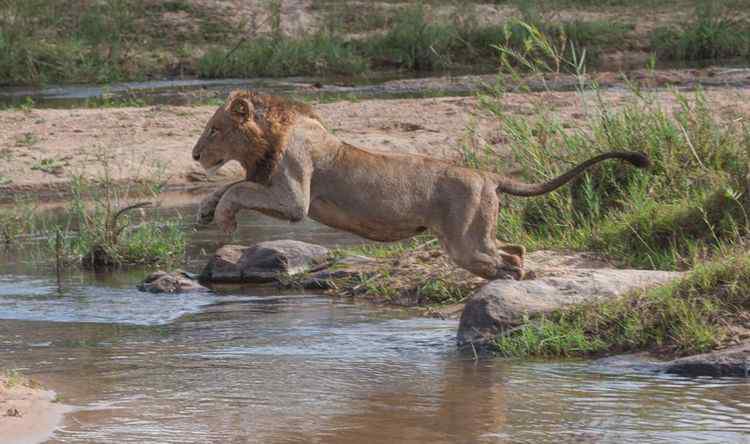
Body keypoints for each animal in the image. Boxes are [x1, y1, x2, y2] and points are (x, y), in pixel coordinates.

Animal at [194, 90, 652, 280]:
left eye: (214, 129)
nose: (195, 155)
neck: (267, 138)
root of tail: (487, 175)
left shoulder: (293, 197)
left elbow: (238, 189)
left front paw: (225, 221)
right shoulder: (267, 181)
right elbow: (230, 185)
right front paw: (205, 211)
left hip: (464, 241)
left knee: (505, 259)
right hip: (475, 235)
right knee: (515, 249)